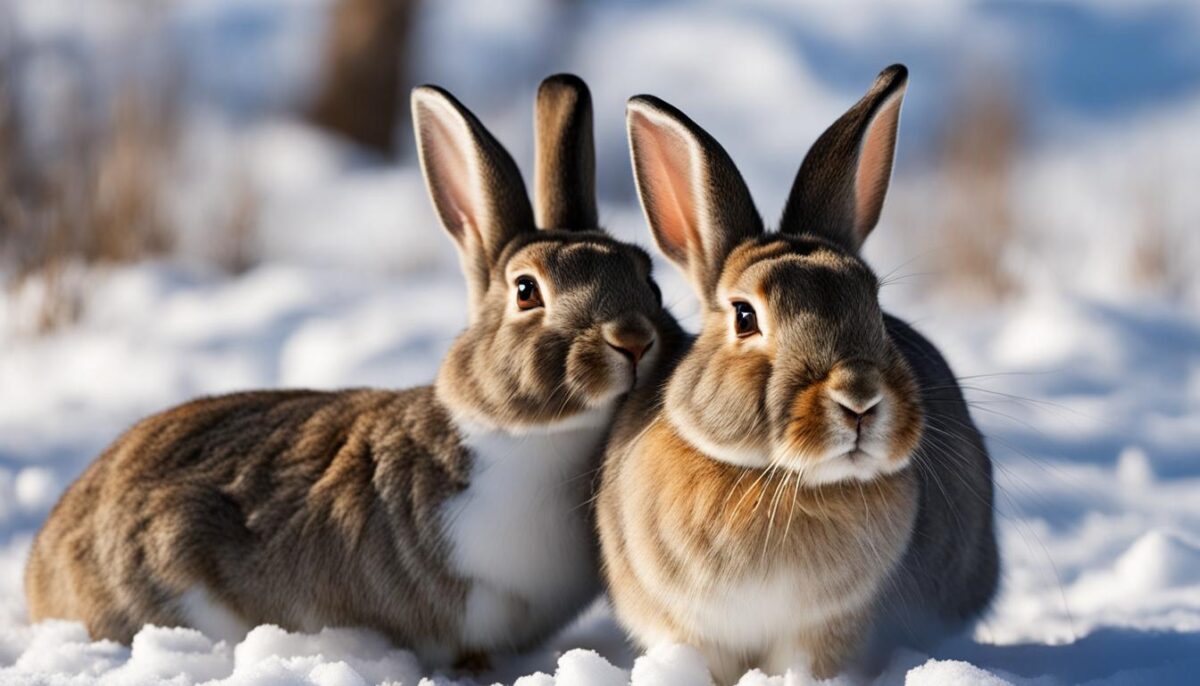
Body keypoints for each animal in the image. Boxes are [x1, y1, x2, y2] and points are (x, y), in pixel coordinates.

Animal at [595, 64, 999, 684]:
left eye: (874, 306)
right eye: (744, 316)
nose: (859, 398)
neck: (773, 480)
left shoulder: (828, 628)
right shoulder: (689, 627)